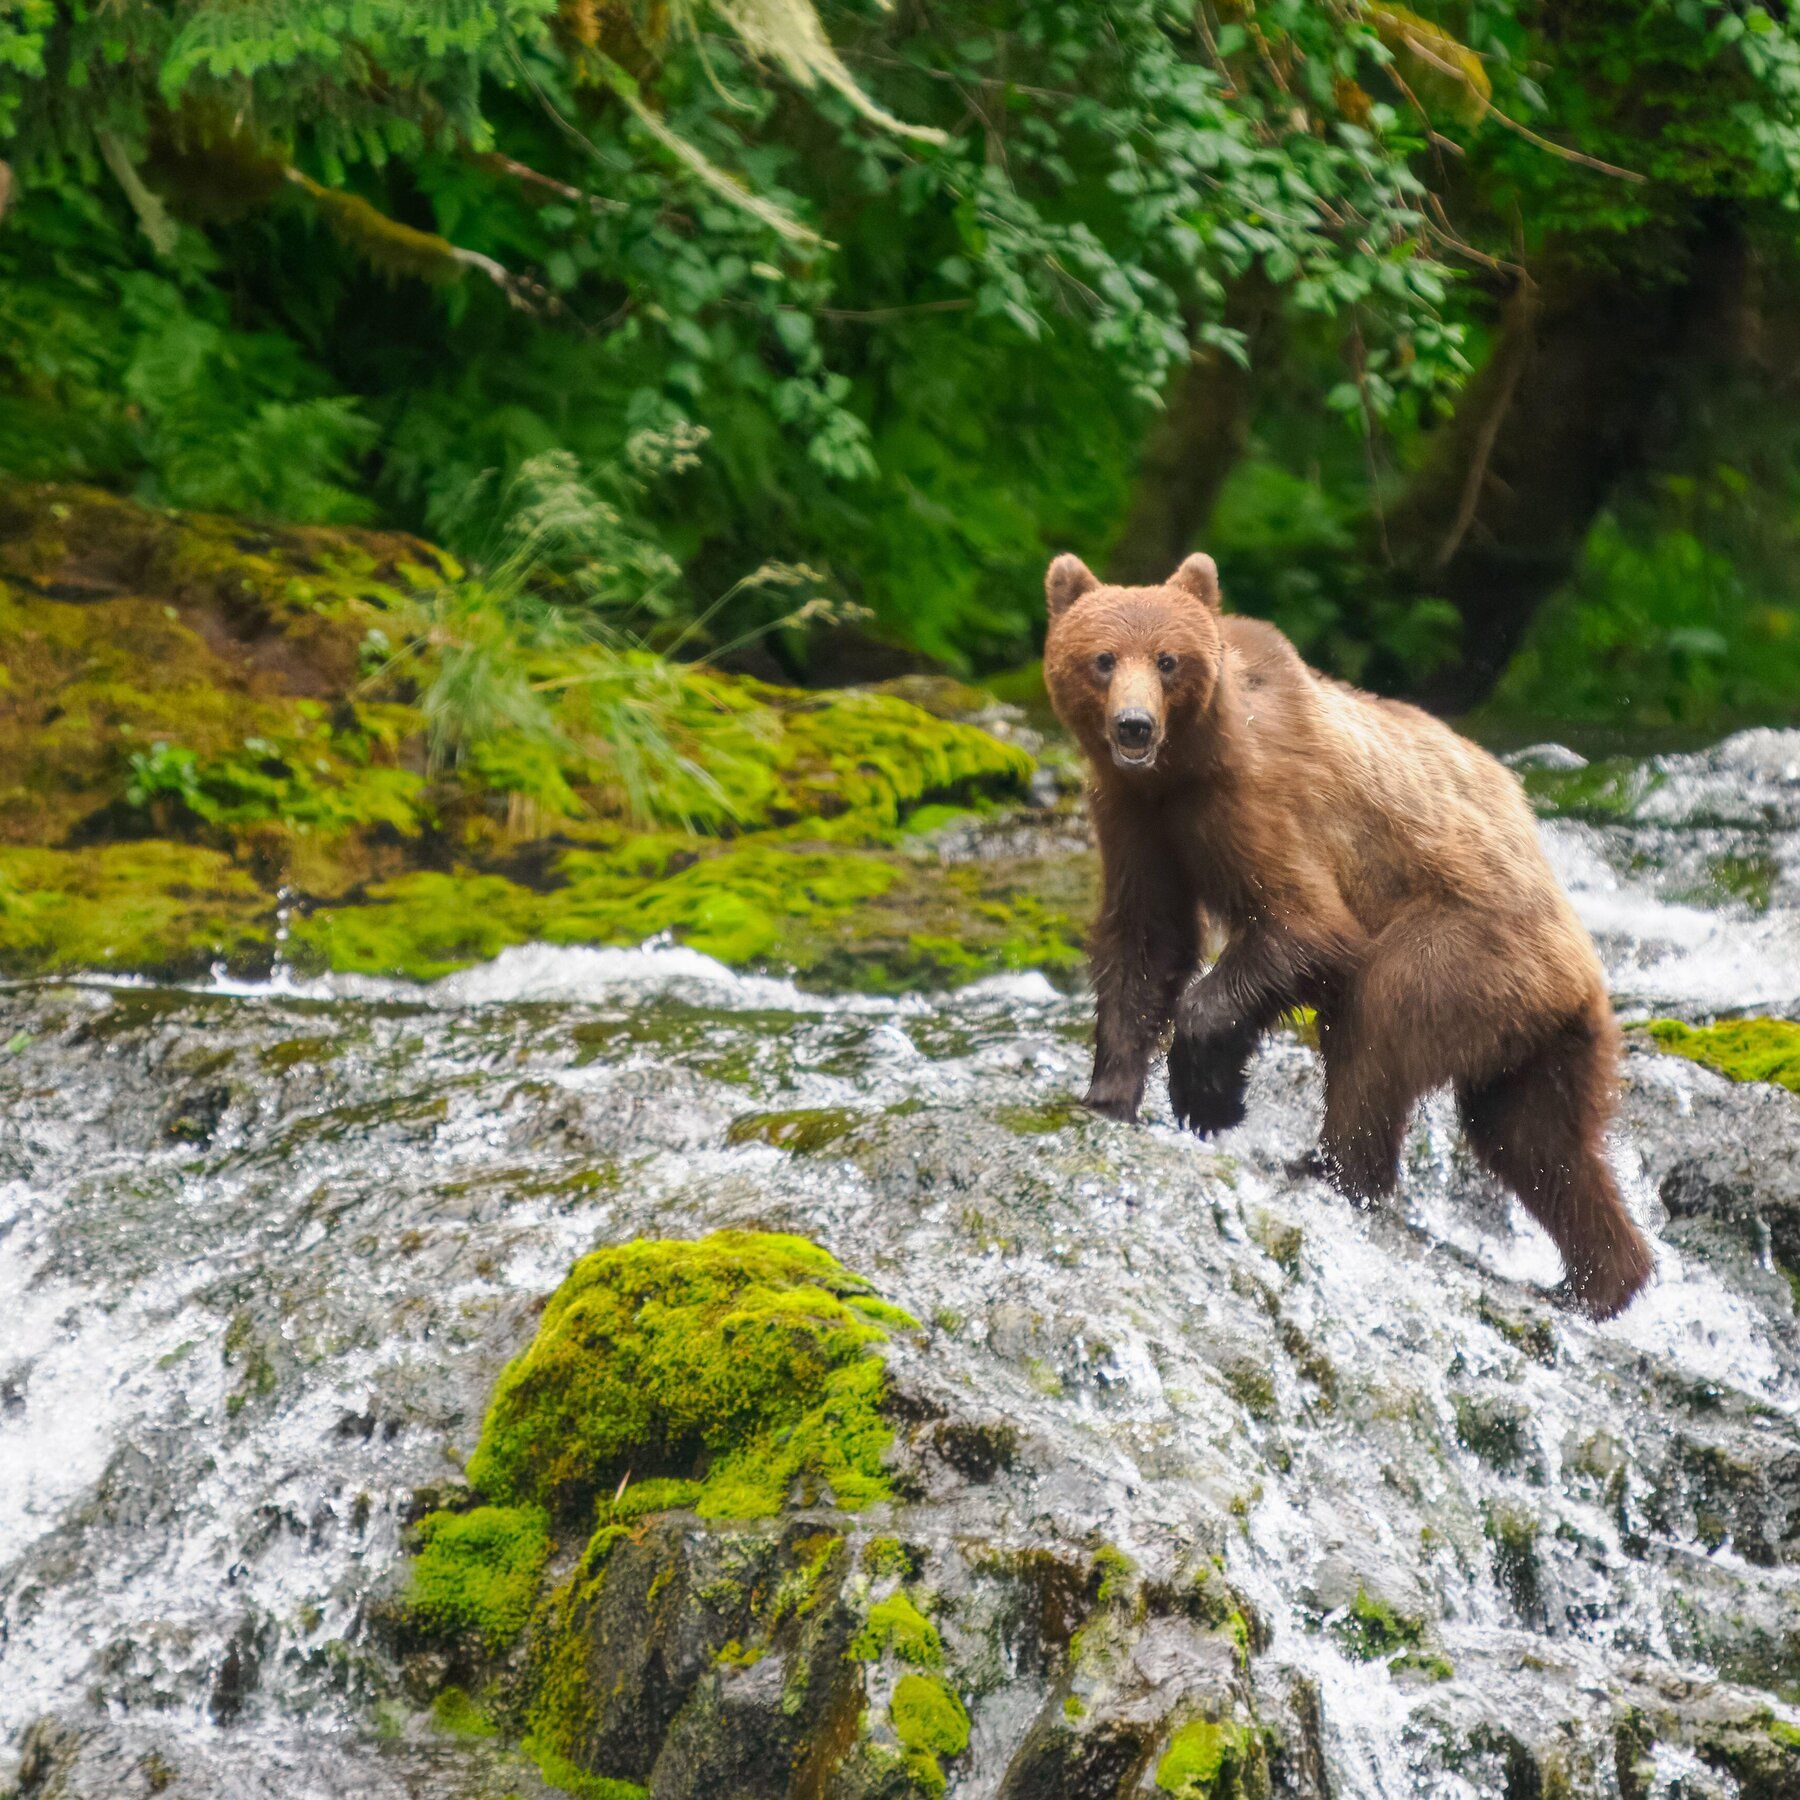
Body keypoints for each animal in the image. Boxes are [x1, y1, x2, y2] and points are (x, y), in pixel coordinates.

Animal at [1042, 549, 1655, 1320]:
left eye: (1167, 660)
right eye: (1101, 659)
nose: (1133, 727)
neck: (1182, 770)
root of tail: (1585, 965)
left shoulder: (1261, 801)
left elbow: (1307, 926)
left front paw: (1207, 1094)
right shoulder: (1135, 819)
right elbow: (1145, 942)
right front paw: (1107, 1093)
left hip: (1469, 945)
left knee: (1381, 1024)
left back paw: (1329, 1168)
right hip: (1539, 1030)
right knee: (1537, 1140)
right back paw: (1598, 1279)